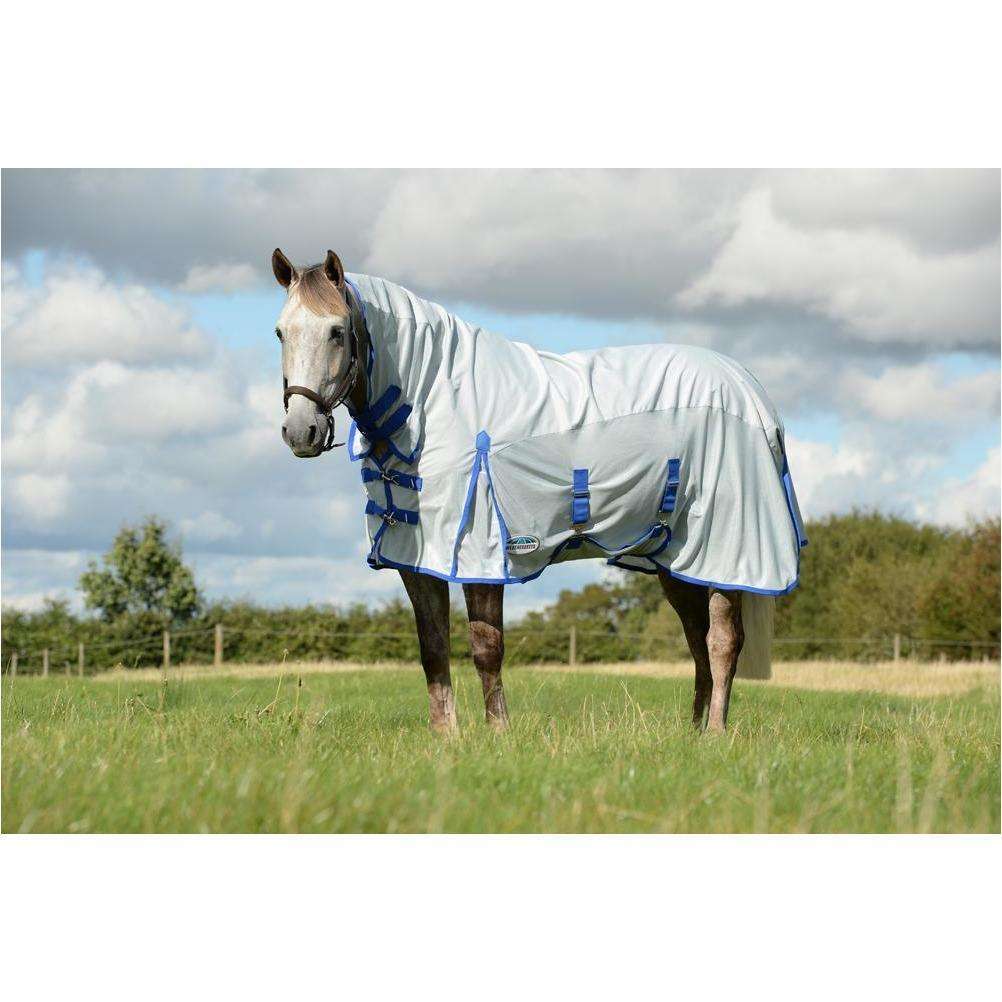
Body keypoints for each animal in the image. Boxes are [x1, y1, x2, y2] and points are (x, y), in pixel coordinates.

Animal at [271, 247, 806, 734]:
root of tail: (749, 390)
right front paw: (447, 739)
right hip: (676, 556)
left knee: (722, 640)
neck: (432, 402)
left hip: (728, 547)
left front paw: (499, 736)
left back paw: (714, 734)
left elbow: (486, 648)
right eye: (280, 331)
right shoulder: (416, 558)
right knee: (696, 638)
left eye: (337, 330)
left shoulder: (483, 552)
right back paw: (692, 734)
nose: (302, 432)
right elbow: (433, 648)